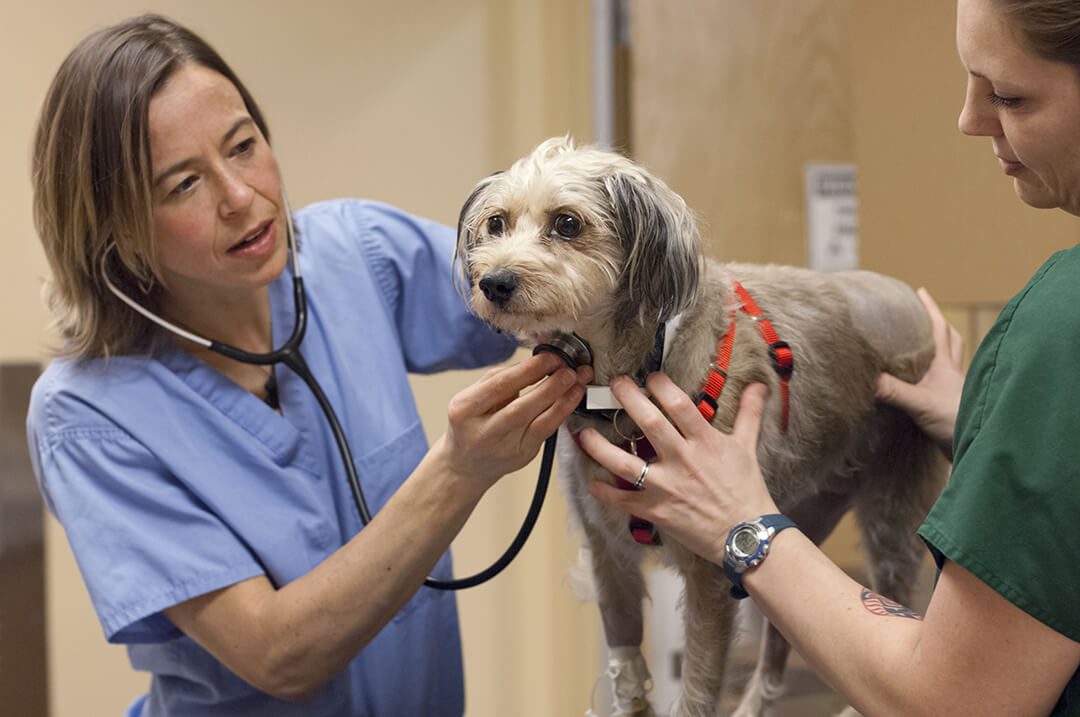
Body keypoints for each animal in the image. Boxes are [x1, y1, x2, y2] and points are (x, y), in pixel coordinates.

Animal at [453, 138, 946, 717]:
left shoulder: (710, 574)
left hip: (888, 525)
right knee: (778, 650)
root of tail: (911, 302)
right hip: (795, 529)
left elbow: (697, 692)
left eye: (567, 223)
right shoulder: (608, 560)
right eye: (496, 223)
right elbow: (628, 675)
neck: (625, 379)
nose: (494, 283)